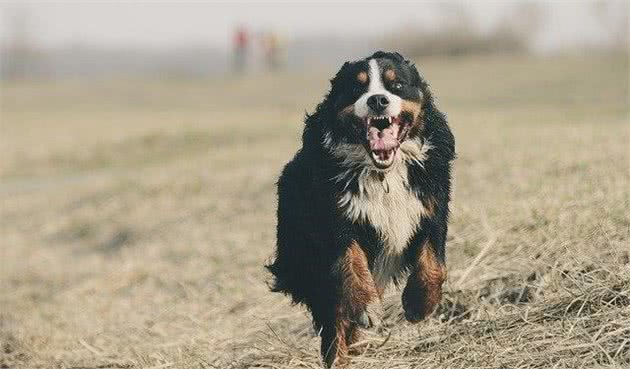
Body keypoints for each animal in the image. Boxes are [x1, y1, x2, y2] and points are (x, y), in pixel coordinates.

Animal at [266, 50, 454, 366]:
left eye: (396, 85)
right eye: (356, 88)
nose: (377, 100)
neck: (383, 174)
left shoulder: (431, 207)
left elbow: (433, 263)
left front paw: (419, 304)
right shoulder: (334, 219)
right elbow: (351, 262)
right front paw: (367, 307)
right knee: (334, 317)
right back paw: (338, 357)